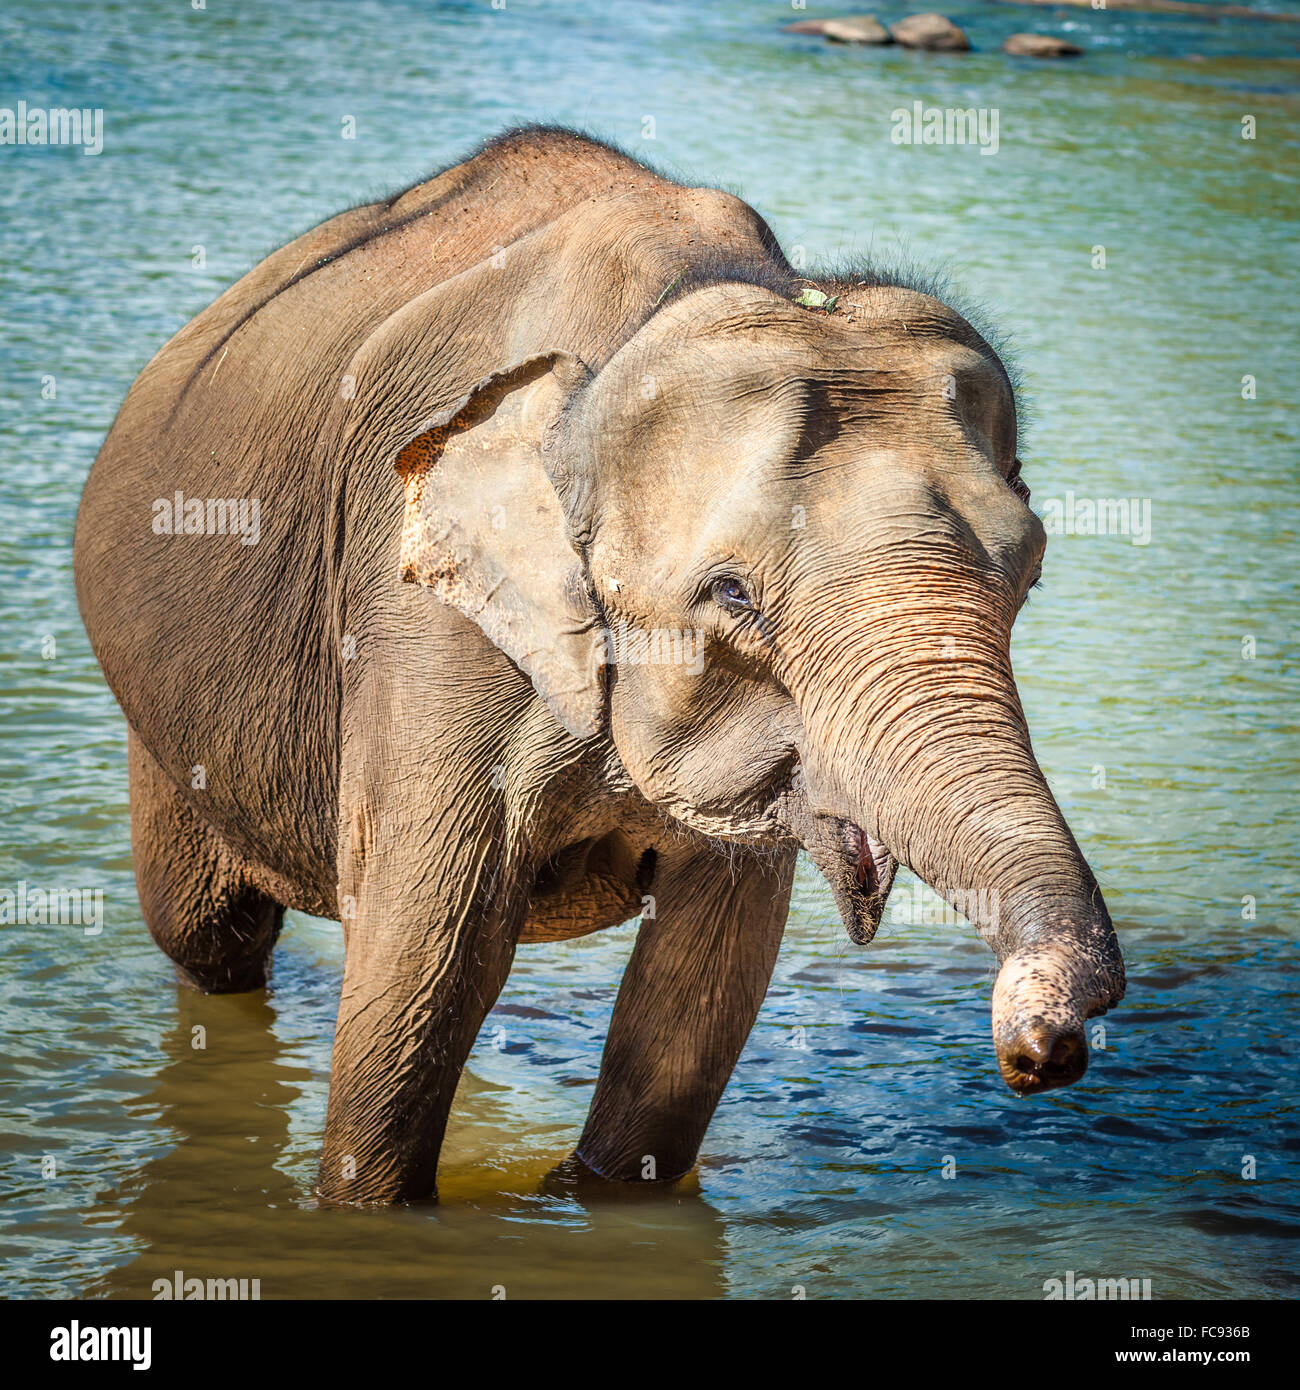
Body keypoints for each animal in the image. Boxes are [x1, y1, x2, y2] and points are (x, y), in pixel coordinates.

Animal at [76, 125, 1123, 1200]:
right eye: (732, 596)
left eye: (1029, 571)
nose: (1041, 1049)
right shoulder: (421, 625)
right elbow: (424, 963)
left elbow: (700, 991)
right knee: (208, 936)